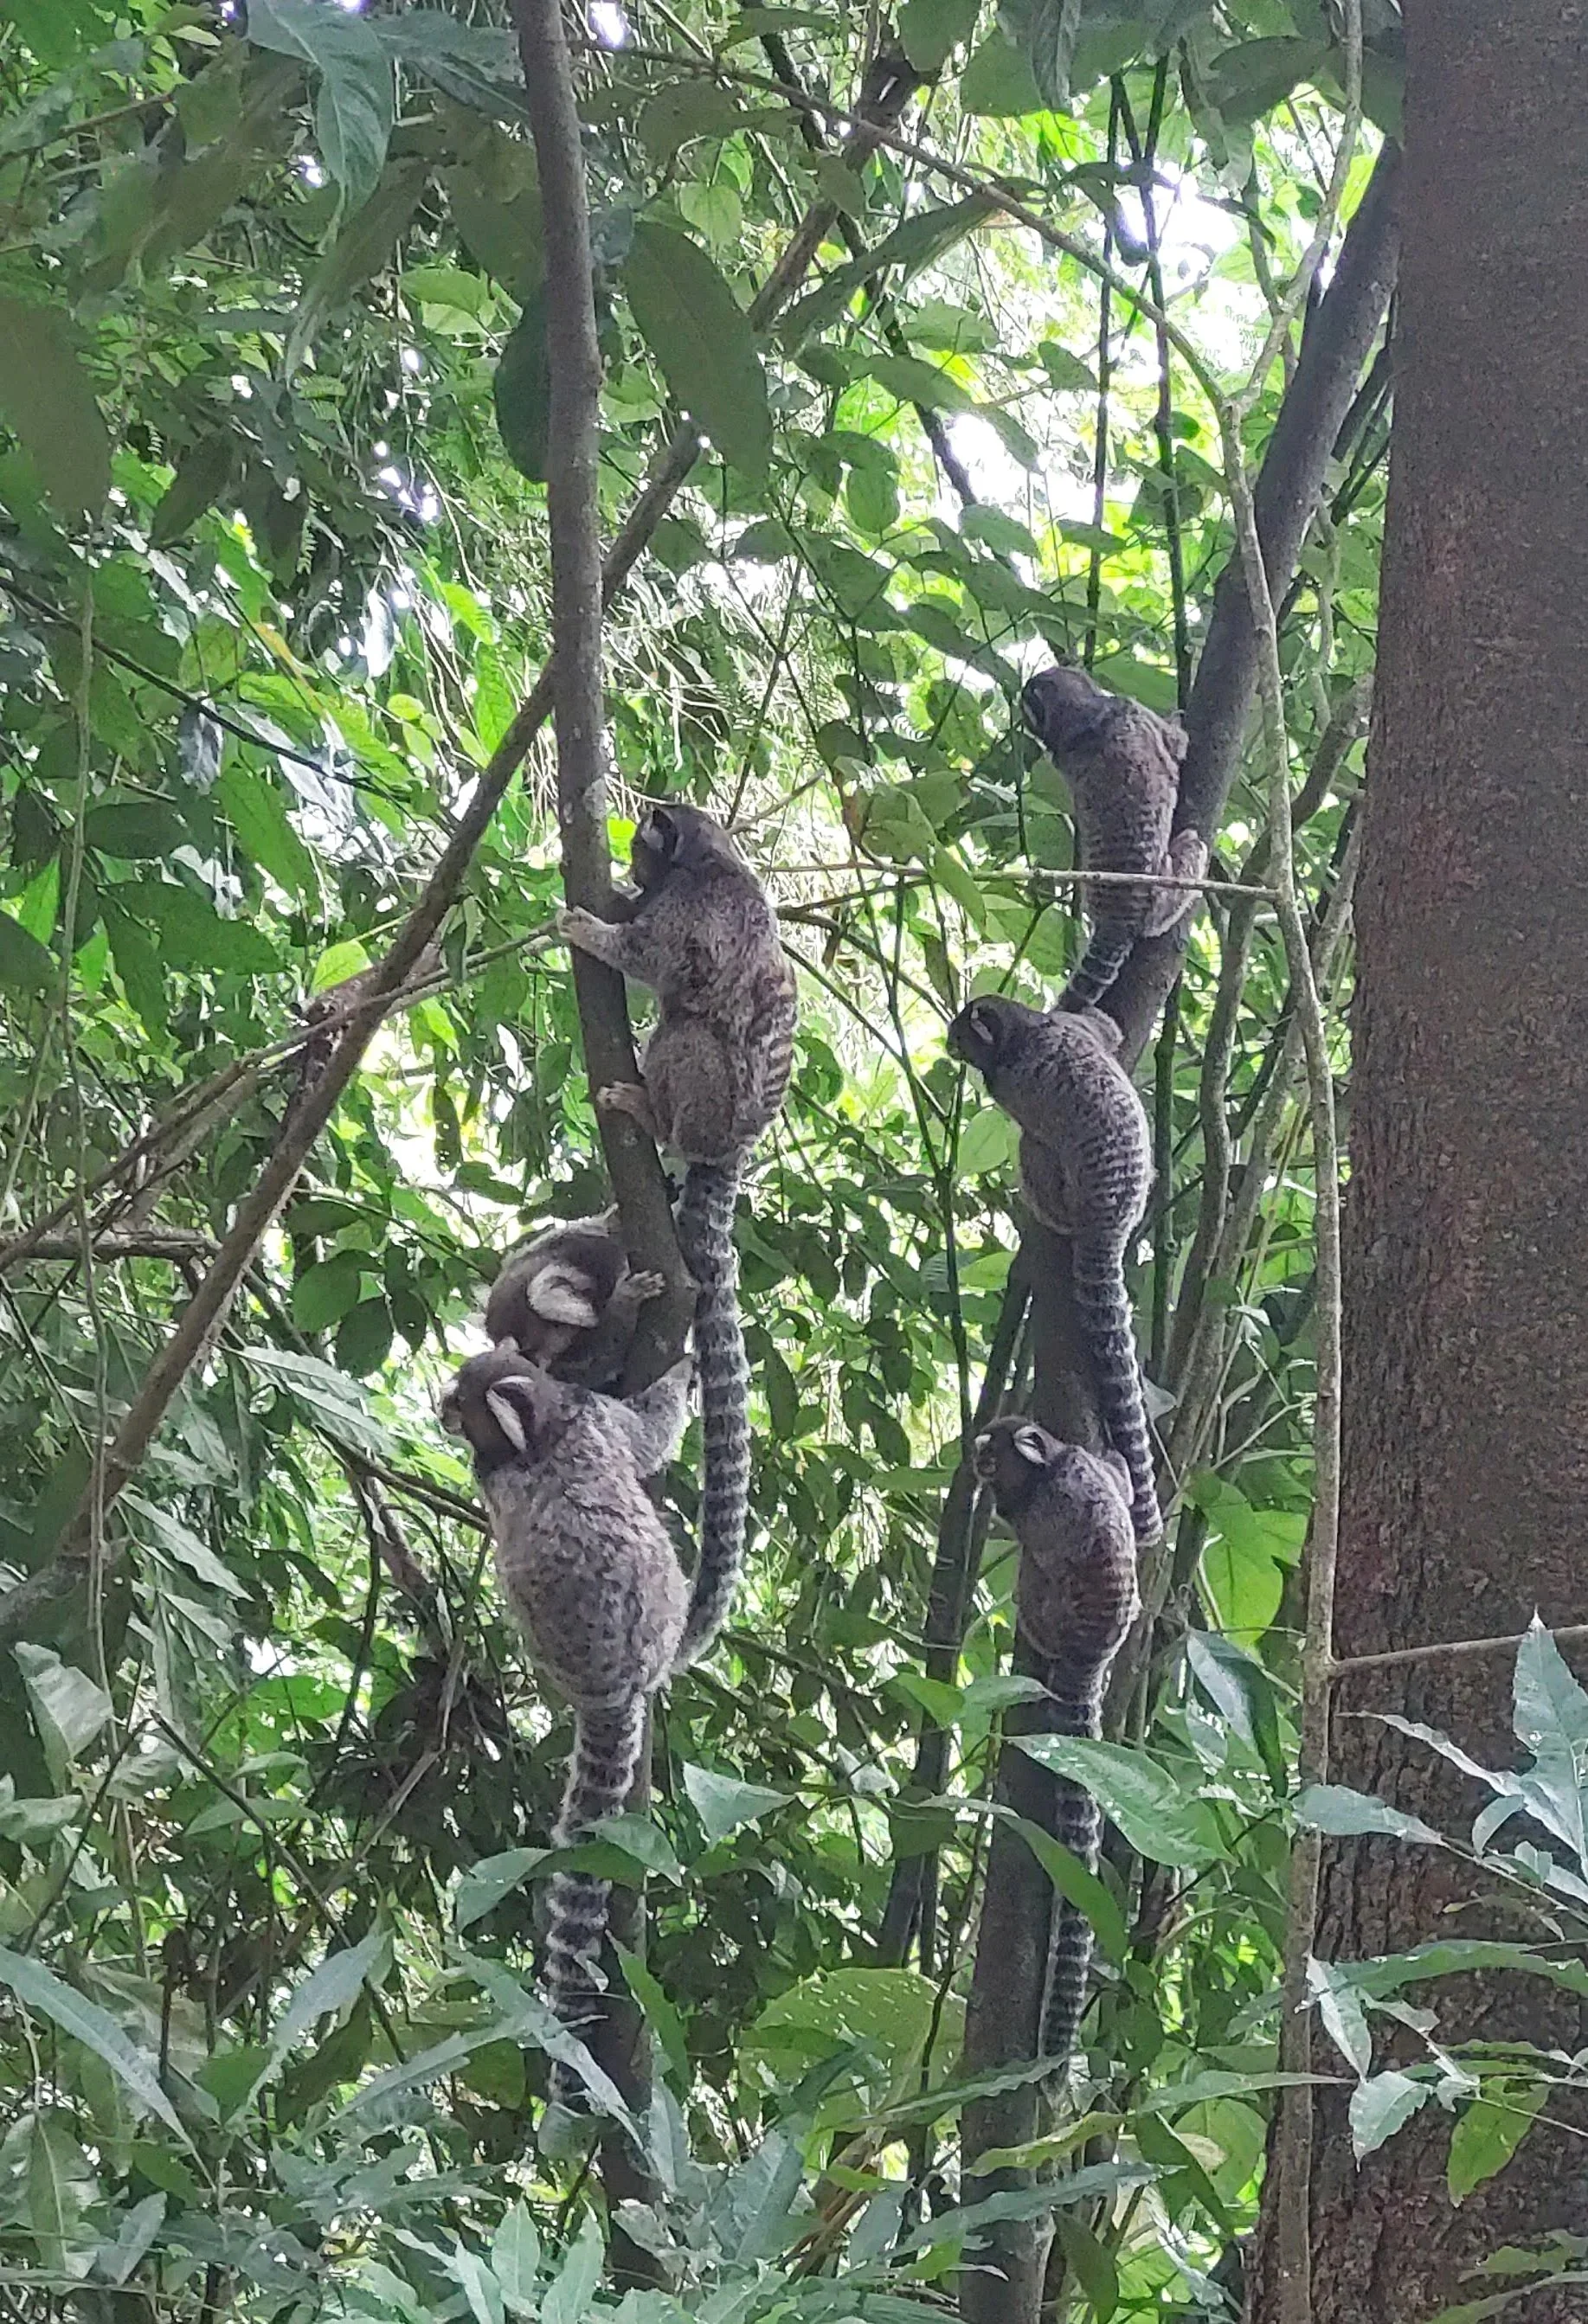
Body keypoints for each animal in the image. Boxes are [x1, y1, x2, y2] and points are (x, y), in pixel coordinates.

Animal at [440, 1338, 692, 2109]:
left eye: (459, 1400)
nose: (439, 1409)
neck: (543, 1432)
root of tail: (609, 1687)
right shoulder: (598, 1420)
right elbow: (649, 1434)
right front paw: (686, 1371)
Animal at [558, 801, 797, 1664]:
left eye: (642, 842)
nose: (631, 863)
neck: (709, 863)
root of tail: (730, 1151)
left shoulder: (700, 914)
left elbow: (664, 963)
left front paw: (589, 928)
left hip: (710, 1098)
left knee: (684, 1032)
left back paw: (649, 1114)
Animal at [947, 995, 1161, 1546]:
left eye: (962, 1037)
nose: (952, 1048)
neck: (1029, 1031)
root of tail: (1108, 1226)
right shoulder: (1072, 1026)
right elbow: (1105, 1030)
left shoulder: (1008, 1080)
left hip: (1061, 1193)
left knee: (1033, 1150)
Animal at [974, 1416, 1140, 2069]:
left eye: (992, 1467)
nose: (986, 1489)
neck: (1050, 1467)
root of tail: (1088, 1660)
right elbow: (1121, 1484)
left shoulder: (1046, 1508)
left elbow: (1040, 1546)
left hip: (1051, 1613)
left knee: (1034, 1578)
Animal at [1021, 662, 1207, 1012]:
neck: (1076, 728)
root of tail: (1114, 920)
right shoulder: (1136, 713)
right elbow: (1178, 743)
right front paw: (1179, 720)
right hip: (1159, 895)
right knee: (1194, 850)